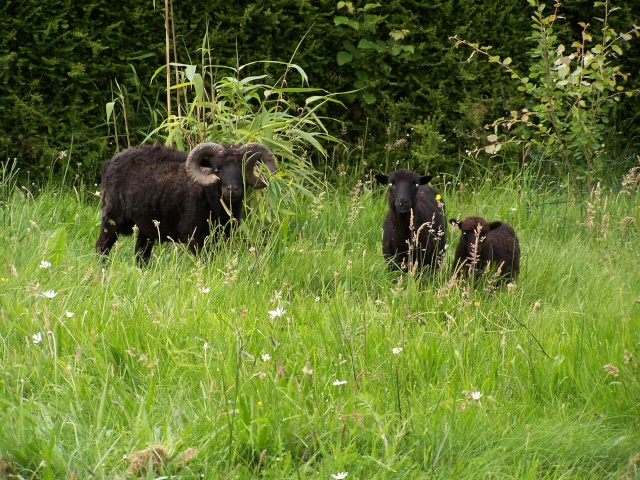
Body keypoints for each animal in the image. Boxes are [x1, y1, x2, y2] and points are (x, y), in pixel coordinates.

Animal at [95, 141, 276, 264]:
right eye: (217, 169)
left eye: (243, 168)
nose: (232, 189)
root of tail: (110, 162)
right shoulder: (195, 238)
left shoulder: (219, 237)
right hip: (112, 218)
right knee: (101, 246)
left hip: (146, 225)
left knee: (141, 255)